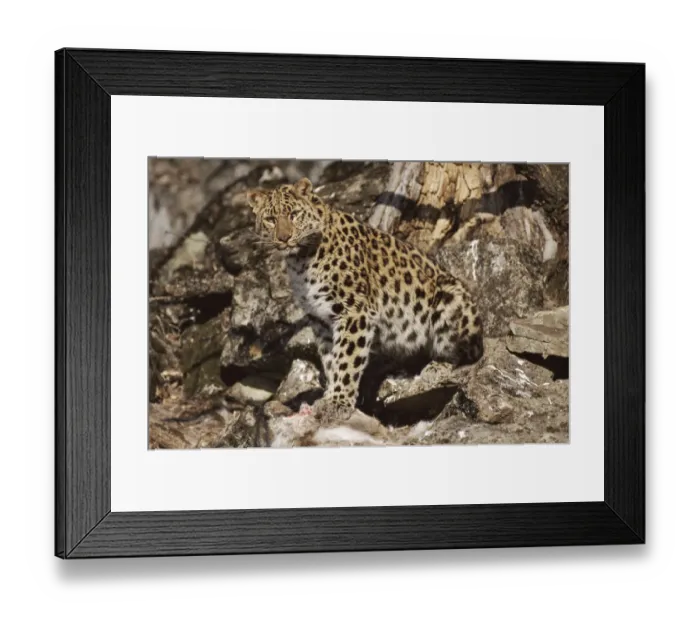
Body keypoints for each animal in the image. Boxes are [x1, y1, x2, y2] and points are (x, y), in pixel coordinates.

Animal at [247, 177, 484, 420]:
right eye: (270, 220)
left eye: (294, 214)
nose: (284, 238)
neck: (300, 261)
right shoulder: (321, 320)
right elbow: (331, 359)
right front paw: (330, 395)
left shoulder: (354, 311)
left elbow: (347, 359)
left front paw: (338, 402)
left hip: (449, 298)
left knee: (467, 355)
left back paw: (435, 368)